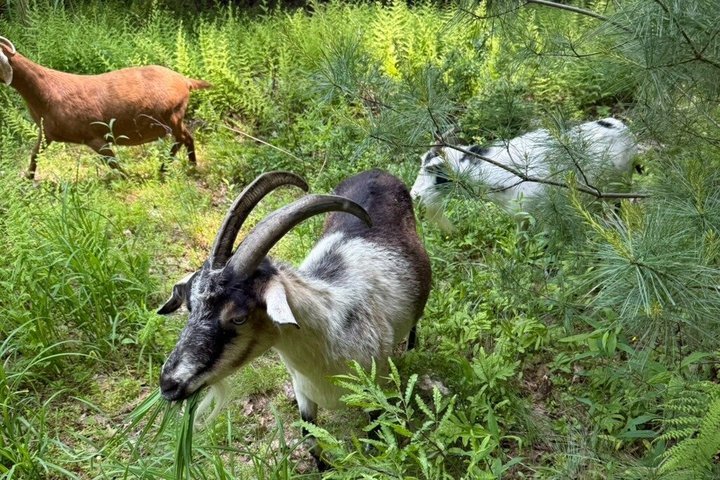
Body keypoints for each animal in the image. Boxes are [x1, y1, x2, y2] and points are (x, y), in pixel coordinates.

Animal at [0, 36, 210, 179]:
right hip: (174, 119)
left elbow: (112, 161)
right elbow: (34, 155)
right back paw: (185, 167)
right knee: (186, 138)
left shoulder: (93, 136)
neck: (47, 91)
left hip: (172, 116)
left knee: (183, 138)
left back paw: (168, 169)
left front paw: (128, 178)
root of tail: (185, 81)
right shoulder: (47, 133)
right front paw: (27, 181)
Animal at [156, 170, 432, 468]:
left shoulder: (374, 388)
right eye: (190, 306)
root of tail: (377, 172)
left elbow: (378, 439)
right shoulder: (302, 390)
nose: (169, 384)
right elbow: (310, 439)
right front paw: (324, 468)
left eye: (238, 318)